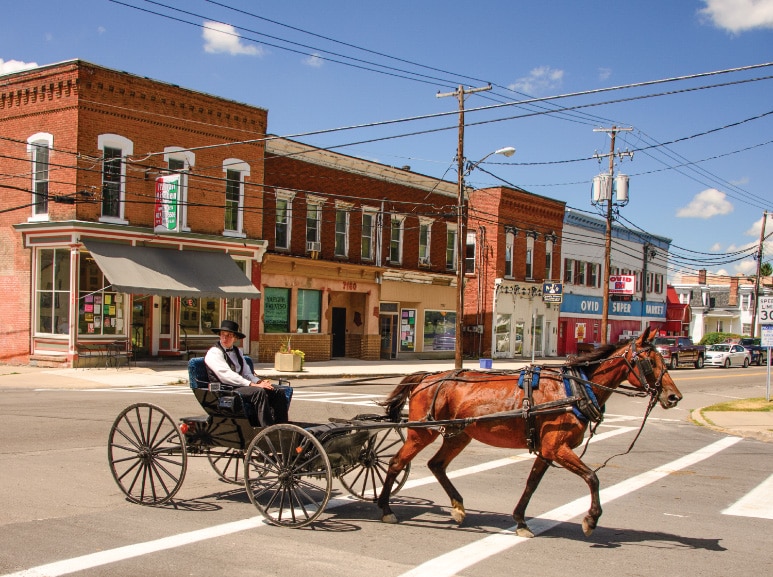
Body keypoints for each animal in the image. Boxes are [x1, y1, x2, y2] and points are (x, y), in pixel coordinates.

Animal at [376, 326, 680, 536]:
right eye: (650, 361)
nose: (674, 396)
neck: (575, 388)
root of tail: (426, 377)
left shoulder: (547, 449)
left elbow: (532, 484)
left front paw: (521, 521)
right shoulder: (556, 447)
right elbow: (592, 477)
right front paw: (591, 520)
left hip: (459, 434)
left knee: (436, 465)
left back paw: (458, 507)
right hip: (421, 433)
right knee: (396, 462)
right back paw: (386, 508)